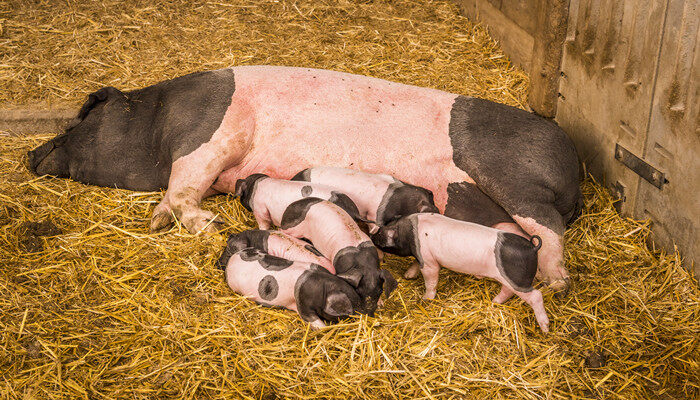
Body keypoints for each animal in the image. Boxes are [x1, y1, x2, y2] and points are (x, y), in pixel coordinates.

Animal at [27, 65, 584, 290]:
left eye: (77, 121)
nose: (31, 153)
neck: (157, 121)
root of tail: (575, 170)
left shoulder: (211, 135)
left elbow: (185, 183)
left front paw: (198, 224)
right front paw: (165, 222)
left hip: (516, 180)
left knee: (549, 225)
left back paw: (556, 282)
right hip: (473, 200)